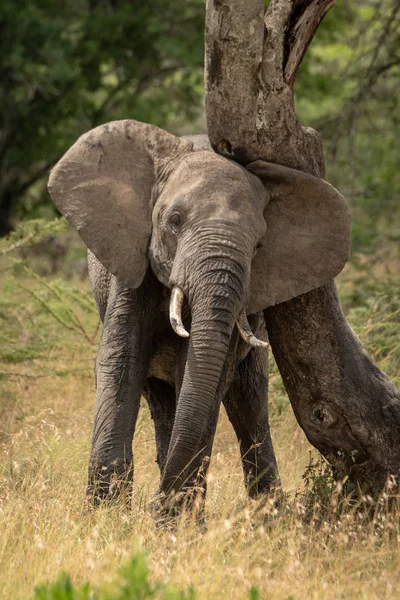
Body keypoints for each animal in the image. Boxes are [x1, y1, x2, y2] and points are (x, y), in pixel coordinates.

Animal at [48, 118, 350, 510]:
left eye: (259, 245)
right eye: (174, 220)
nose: (154, 505)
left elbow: (206, 373)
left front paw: (172, 518)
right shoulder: (132, 264)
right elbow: (122, 360)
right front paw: (106, 514)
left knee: (248, 405)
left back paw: (267, 514)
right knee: (161, 400)